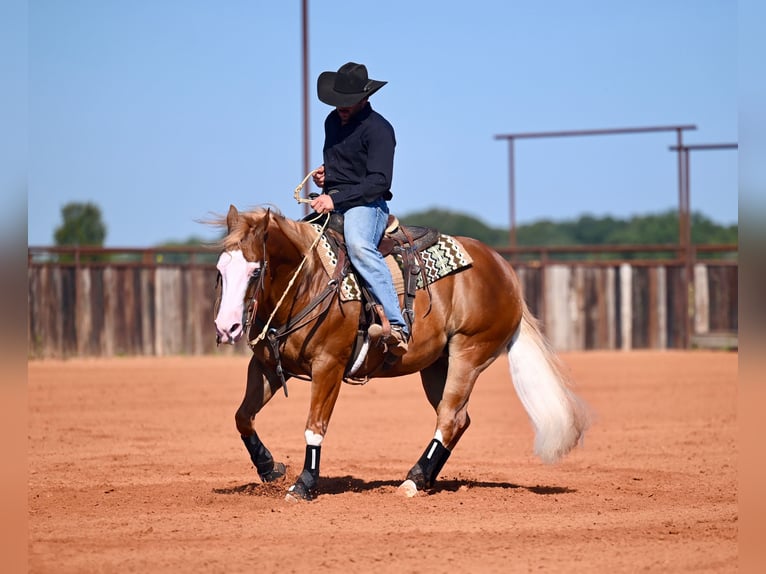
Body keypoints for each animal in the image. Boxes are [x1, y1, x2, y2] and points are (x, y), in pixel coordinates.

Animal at [213, 204, 589, 501]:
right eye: (220, 270)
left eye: (256, 270)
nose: (226, 327)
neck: (310, 280)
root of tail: (505, 271)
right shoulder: (266, 365)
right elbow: (242, 416)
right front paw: (270, 469)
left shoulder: (328, 366)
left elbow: (314, 426)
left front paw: (304, 485)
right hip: (436, 365)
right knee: (458, 419)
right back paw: (423, 477)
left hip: (469, 353)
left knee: (450, 417)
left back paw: (412, 482)